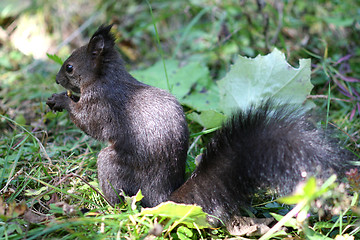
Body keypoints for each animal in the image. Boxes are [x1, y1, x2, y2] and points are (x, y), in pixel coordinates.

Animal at [46, 25, 352, 226]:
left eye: (69, 67)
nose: (57, 80)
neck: (105, 76)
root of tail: (162, 196)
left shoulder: (102, 104)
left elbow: (89, 123)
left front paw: (61, 100)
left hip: (112, 164)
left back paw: (104, 206)